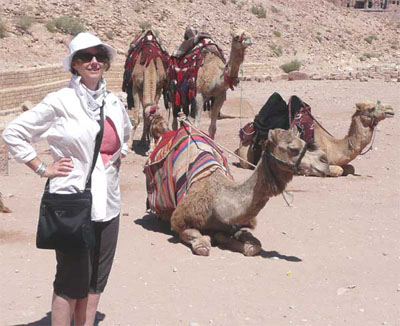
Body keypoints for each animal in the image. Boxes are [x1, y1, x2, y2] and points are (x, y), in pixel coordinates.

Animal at [145, 126, 330, 256]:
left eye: (305, 143)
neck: (218, 203)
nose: (325, 161)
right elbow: (202, 244)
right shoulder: (180, 221)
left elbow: (254, 246)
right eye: (293, 148)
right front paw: (208, 239)